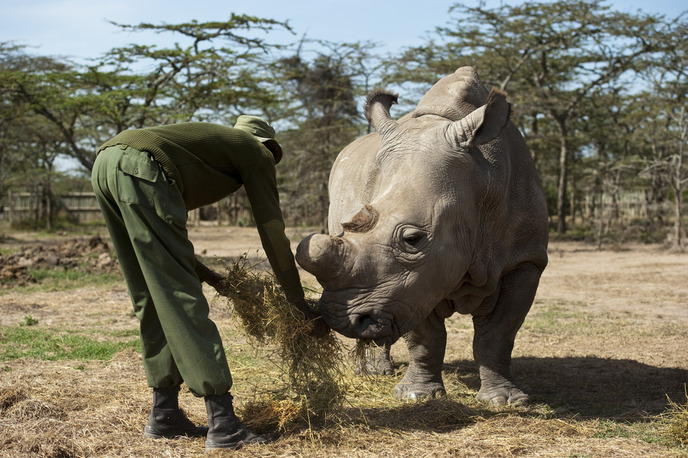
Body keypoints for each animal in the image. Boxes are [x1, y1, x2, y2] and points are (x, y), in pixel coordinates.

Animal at [296, 65, 548, 404]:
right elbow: (424, 336)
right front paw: (417, 395)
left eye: (412, 240)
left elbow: (499, 333)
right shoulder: (410, 283)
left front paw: (507, 401)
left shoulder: (525, 259)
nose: (340, 318)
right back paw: (373, 373)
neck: (480, 181)